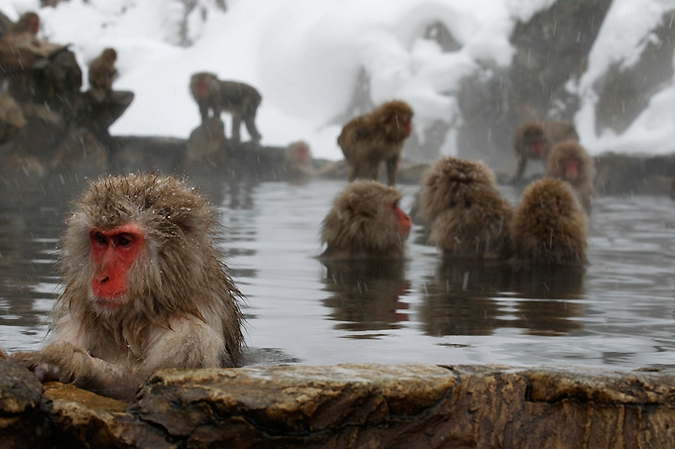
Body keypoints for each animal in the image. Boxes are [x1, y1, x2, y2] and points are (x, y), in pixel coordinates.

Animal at [11, 172, 244, 400]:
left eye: (124, 241)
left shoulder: (191, 337)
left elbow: (146, 384)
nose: (101, 277)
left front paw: (65, 361)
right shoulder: (76, 318)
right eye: (100, 239)